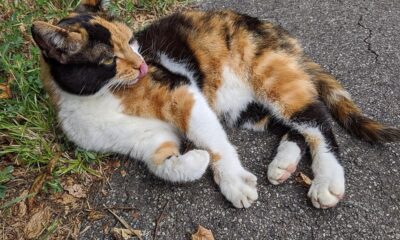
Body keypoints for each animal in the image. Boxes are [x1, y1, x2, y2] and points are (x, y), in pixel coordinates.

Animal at [31, 0, 400, 209]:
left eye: (133, 43)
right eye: (110, 58)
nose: (143, 66)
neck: (97, 98)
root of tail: (276, 31)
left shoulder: (181, 91)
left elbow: (214, 140)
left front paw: (233, 181)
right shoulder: (147, 142)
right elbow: (163, 165)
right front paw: (196, 160)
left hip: (269, 76)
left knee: (317, 121)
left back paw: (326, 181)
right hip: (248, 108)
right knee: (293, 127)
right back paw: (283, 164)